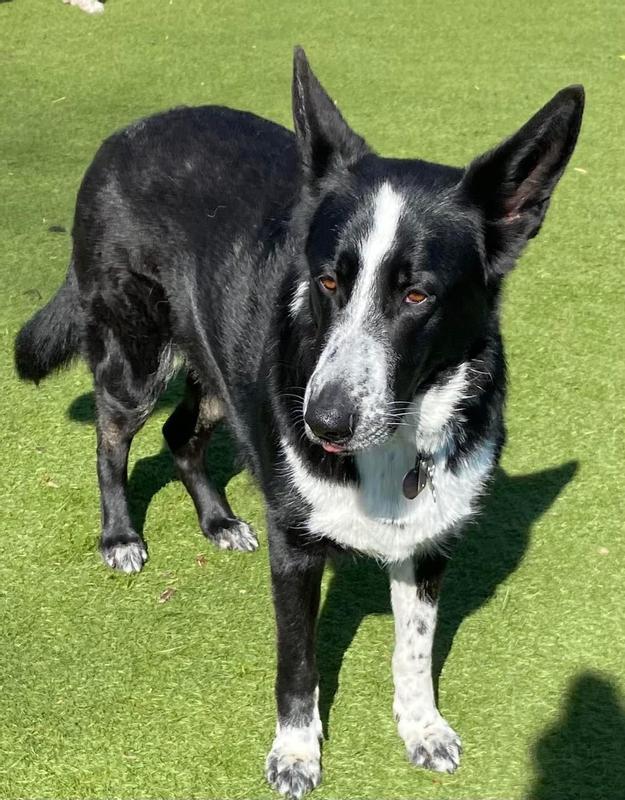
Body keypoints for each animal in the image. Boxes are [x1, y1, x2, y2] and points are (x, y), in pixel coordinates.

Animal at [15, 48, 583, 798]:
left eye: (416, 295)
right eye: (327, 281)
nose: (322, 422)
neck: (396, 437)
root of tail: (126, 133)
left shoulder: (428, 542)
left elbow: (414, 649)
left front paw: (421, 727)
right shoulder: (296, 551)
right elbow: (298, 663)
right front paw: (294, 751)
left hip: (222, 374)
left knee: (180, 436)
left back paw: (220, 521)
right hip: (138, 358)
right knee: (112, 439)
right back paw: (119, 535)